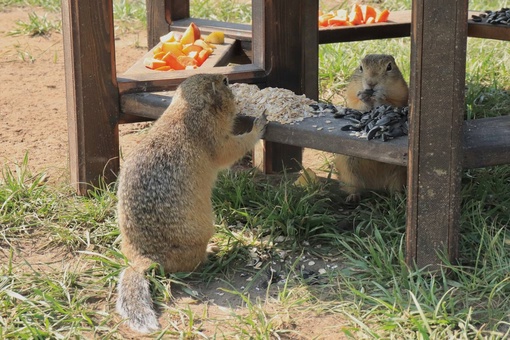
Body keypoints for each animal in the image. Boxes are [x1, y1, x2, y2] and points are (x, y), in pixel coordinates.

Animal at [115, 73, 266, 332]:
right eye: (225, 82)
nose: (229, 80)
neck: (188, 109)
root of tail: (143, 259)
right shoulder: (214, 137)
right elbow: (231, 148)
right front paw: (259, 124)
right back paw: (214, 251)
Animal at [332, 53, 408, 202]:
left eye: (389, 67)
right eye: (361, 67)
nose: (371, 83)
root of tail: (376, 187)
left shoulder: (402, 95)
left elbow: (394, 104)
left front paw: (380, 97)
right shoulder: (352, 94)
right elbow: (356, 104)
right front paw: (364, 98)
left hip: (399, 173)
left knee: (395, 187)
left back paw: (398, 197)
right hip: (348, 168)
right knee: (353, 185)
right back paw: (353, 197)